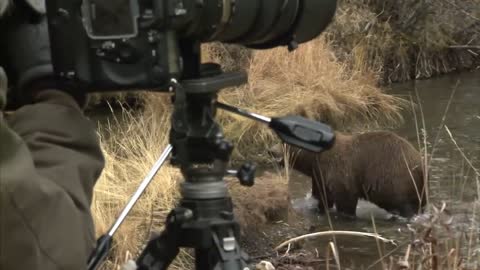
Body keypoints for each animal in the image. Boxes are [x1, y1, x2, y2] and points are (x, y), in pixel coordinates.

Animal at [270, 131, 428, 219]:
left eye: (283, 142)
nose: (271, 150)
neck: (316, 159)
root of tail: (420, 163)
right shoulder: (319, 175)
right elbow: (322, 196)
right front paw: (318, 208)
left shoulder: (340, 173)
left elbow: (345, 200)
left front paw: (345, 215)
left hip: (397, 178)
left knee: (406, 205)